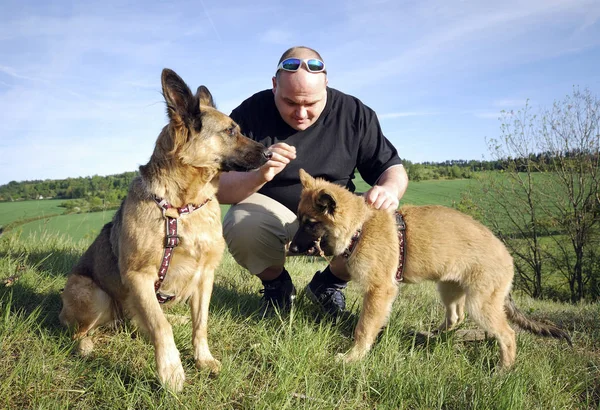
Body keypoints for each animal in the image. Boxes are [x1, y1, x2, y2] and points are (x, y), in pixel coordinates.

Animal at [58, 68, 270, 390]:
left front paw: (203, 359)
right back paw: (85, 345)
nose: (270, 153)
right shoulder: (140, 277)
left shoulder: (205, 276)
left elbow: (201, 324)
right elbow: (161, 326)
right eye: (231, 131)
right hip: (94, 295)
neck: (182, 206)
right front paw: (171, 371)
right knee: (79, 332)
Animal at [290, 169, 572, 368]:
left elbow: (364, 328)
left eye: (310, 223)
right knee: (456, 317)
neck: (361, 226)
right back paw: (434, 337)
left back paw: (503, 371)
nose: (289, 247)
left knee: (508, 334)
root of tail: (507, 256)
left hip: (480, 304)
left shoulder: (379, 291)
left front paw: (353, 357)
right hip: (449, 289)